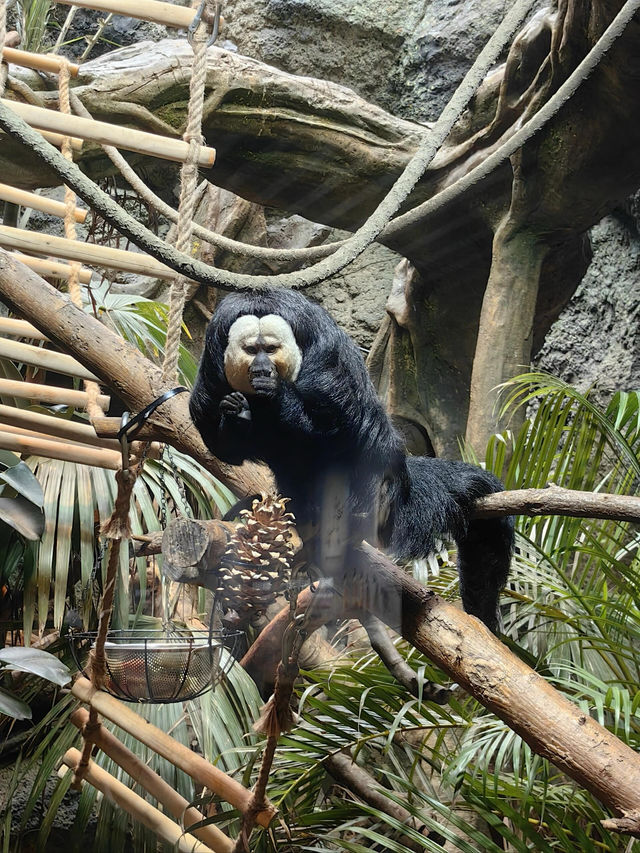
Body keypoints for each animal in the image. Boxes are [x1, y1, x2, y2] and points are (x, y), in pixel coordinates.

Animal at [190, 290, 516, 628]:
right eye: (252, 351)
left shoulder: (325, 357)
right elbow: (224, 445)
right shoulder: (213, 366)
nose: (262, 369)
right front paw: (236, 415)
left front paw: (276, 393)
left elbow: (337, 425)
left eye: (270, 349)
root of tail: (402, 483)